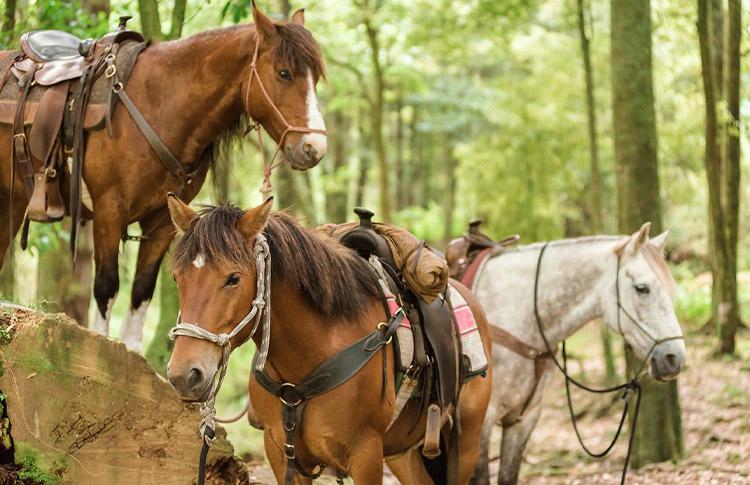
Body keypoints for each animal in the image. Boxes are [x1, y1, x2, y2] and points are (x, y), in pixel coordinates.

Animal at [0, 5, 328, 350]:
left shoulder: (161, 223)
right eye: (284, 73)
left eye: (316, 78)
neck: (160, 104)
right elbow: (106, 287)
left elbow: (142, 290)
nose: (314, 147)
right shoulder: (109, 211)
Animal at [164, 195, 494, 482]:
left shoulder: (366, 455)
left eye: (233, 278)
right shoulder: (281, 455)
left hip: (465, 444)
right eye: (177, 278)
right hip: (405, 452)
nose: (184, 375)